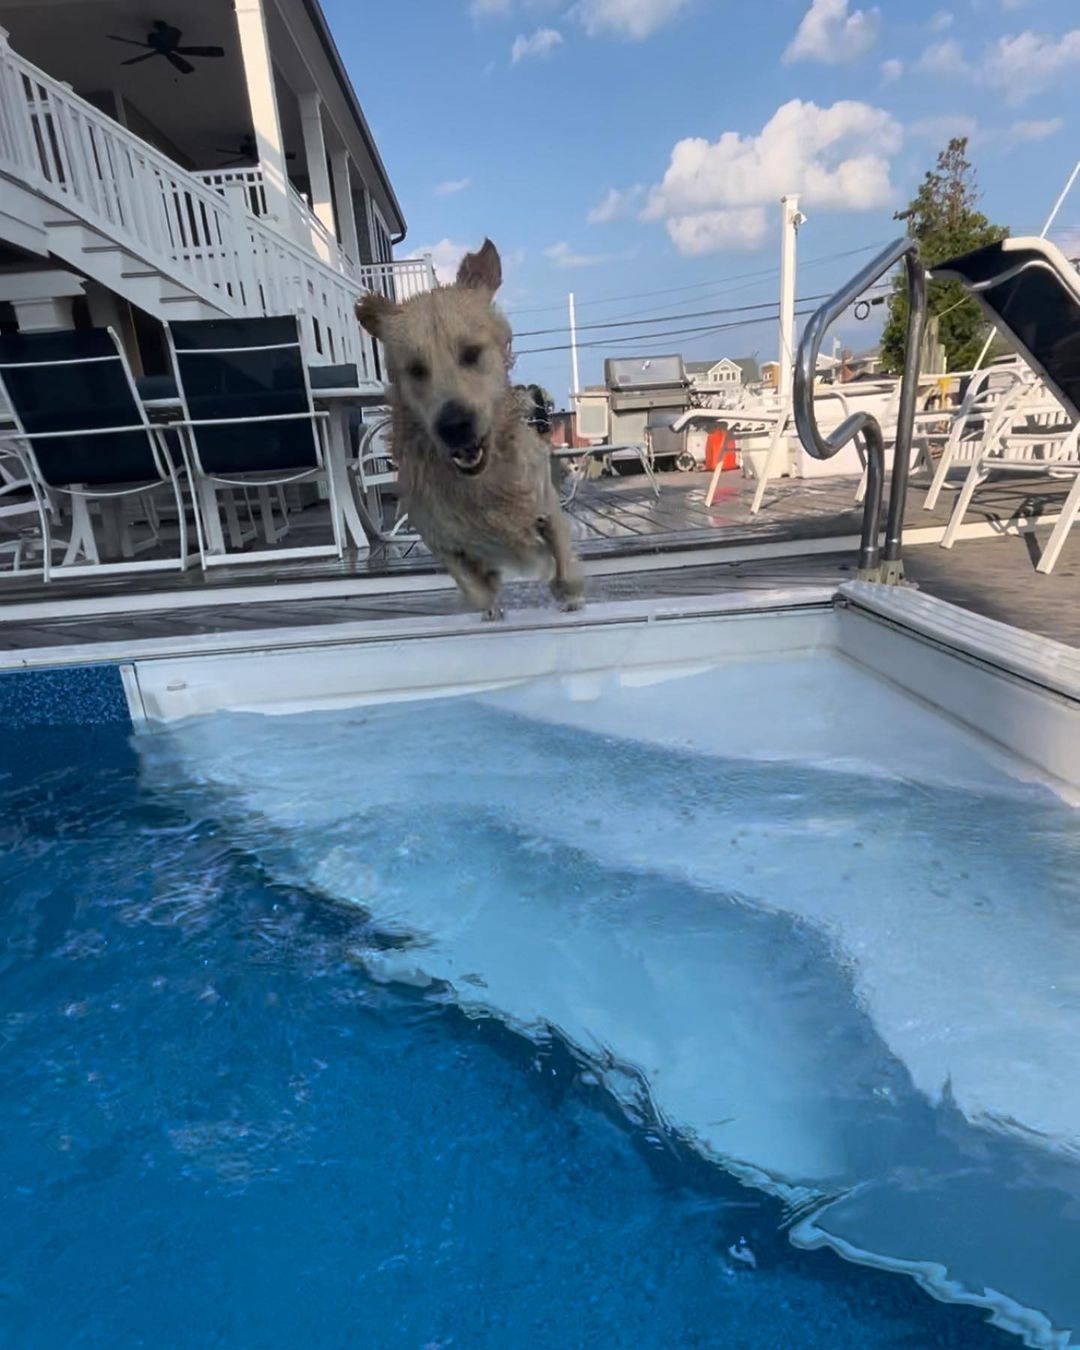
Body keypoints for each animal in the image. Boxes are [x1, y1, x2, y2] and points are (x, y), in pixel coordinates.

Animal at [356, 240, 583, 618]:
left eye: (471, 353)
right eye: (416, 369)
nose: (454, 426)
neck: (481, 482)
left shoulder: (545, 505)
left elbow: (561, 559)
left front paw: (568, 593)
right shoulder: (437, 534)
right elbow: (475, 586)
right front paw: (491, 605)